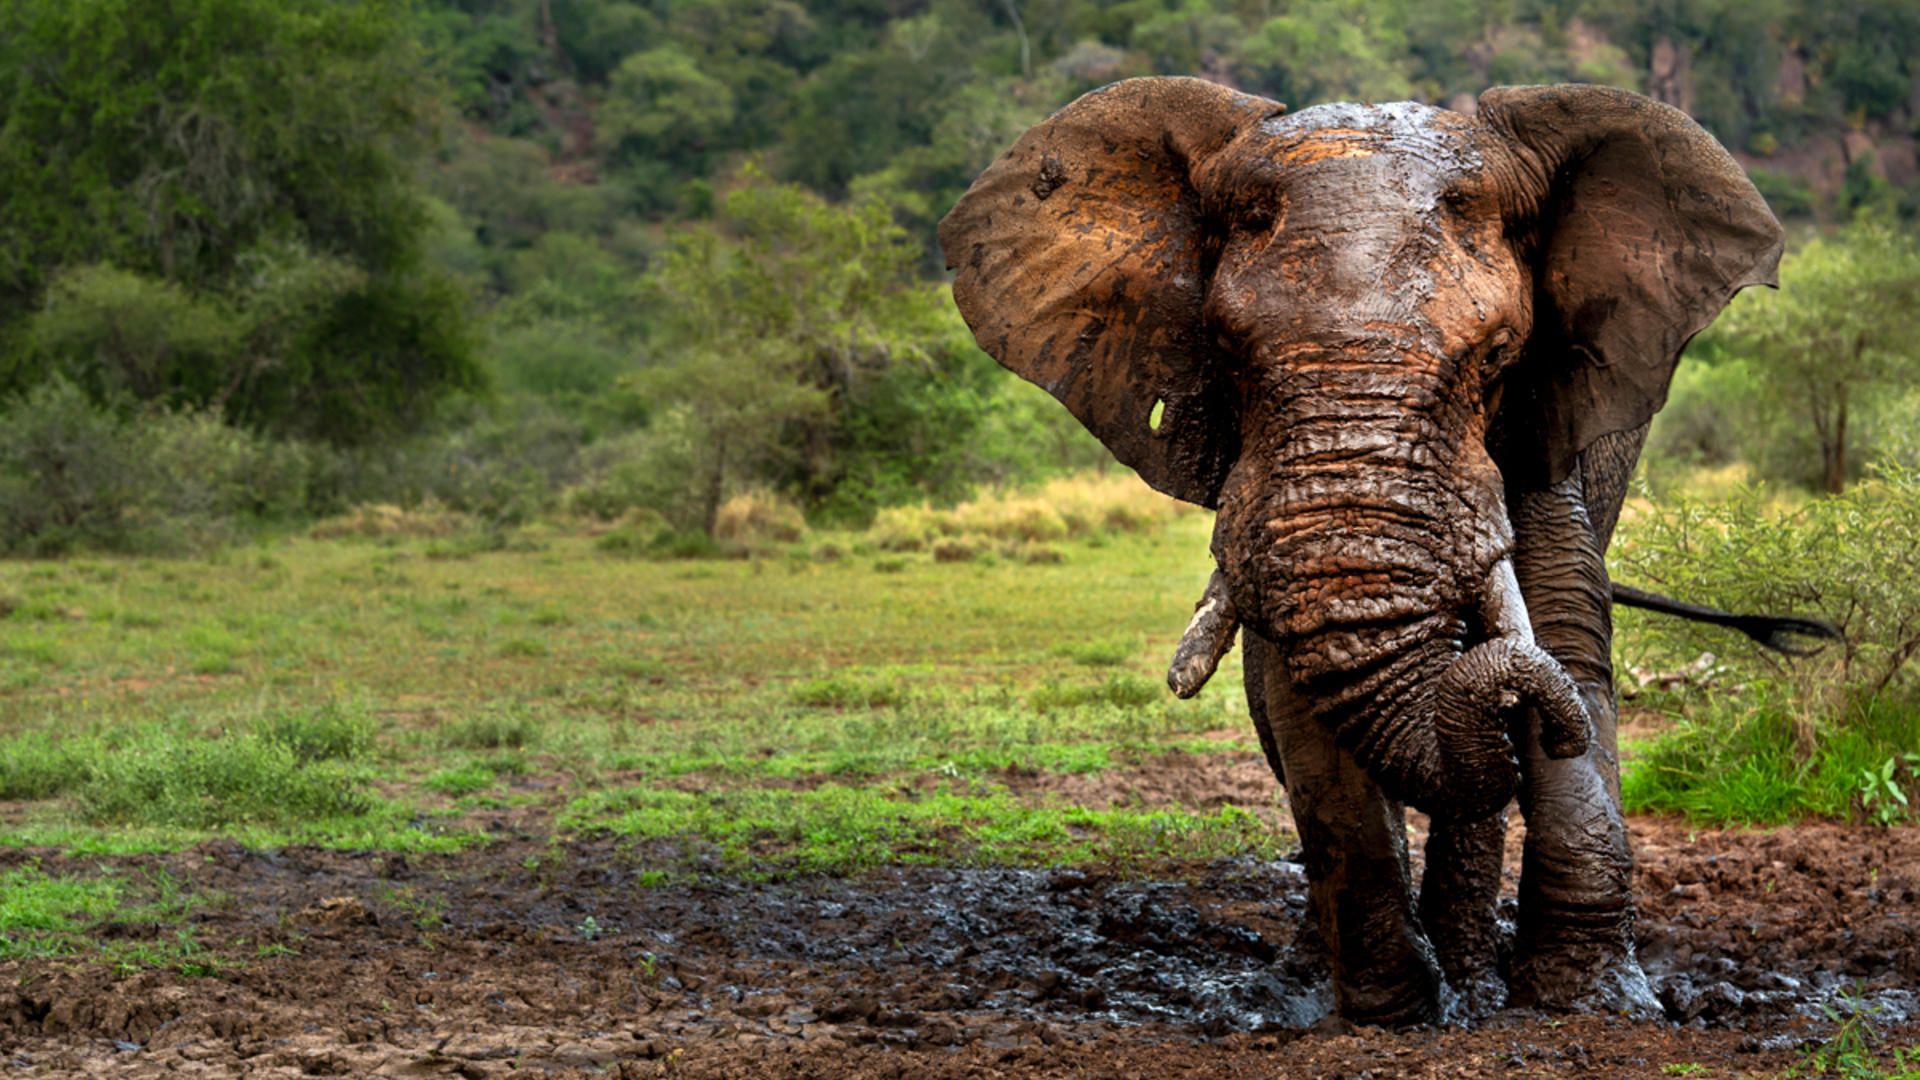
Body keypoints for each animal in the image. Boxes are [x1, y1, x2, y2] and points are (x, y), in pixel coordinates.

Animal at [939, 77, 1785, 1025]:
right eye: (1225, 354)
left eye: (1498, 358)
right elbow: (1298, 693)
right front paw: (1395, 1007)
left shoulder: (1550, 422)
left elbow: (1566, 639)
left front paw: (1594, 1002)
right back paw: (1341, 976)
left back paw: (1474, 972)